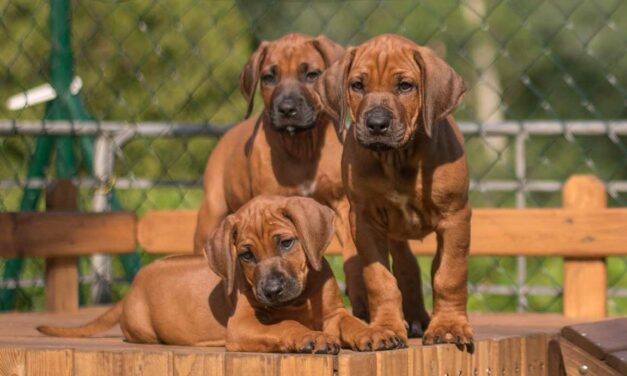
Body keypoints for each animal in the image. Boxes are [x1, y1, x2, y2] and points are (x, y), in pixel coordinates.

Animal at [39, 197, 404, 352]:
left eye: (286, 242)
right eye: (246, 255)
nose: (271, 290)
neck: (299, 299)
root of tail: (131, 289)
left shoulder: (333, 313)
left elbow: (351, 322)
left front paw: (375, 333)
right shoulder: (242, 325)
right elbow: (286, 325)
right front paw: (309, 337)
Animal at [191, 33, 368, 320]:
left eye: (312, 74)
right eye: (268, 77)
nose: (286, 109)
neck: (302, 146)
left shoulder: (341, 205)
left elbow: (353, 255)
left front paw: (361, 301)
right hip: (211, 212)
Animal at [316, 33, 474, 346]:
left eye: (405, 86)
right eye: (357, 85)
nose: (376, 124)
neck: (397, 158)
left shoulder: (455, 217)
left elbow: (450, 274)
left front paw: (449, 326)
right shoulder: (364, 221)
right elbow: (380, 279)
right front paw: (386, 327)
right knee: (406, 266)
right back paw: (411, 319)